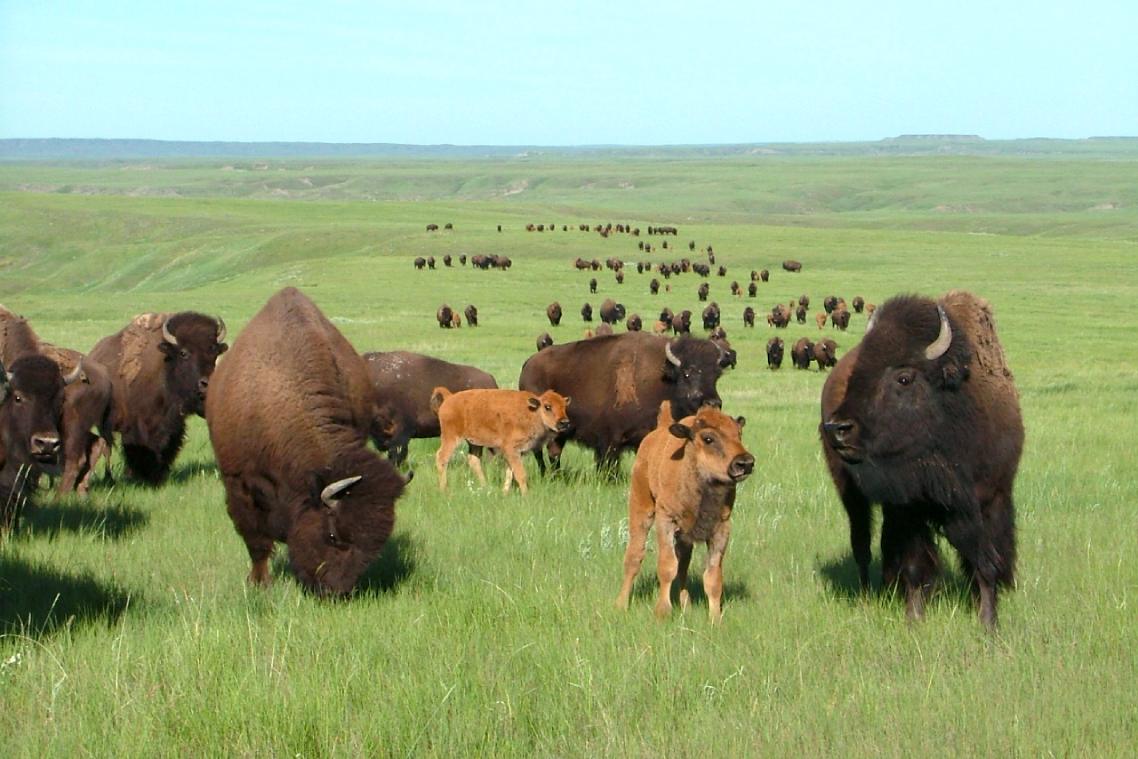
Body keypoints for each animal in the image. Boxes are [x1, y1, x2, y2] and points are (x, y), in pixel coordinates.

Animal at [89, 311, 225, 484]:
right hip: (104, 425)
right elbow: (138, 448)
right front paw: (142, 477)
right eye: (183, 353)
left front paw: (159, 476)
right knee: (107, 448)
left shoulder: (173, 425)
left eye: (214, 351)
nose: (206, 383)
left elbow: (167, 448)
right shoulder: (137, 425)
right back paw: (110, 478)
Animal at [205, 287, 409, 596]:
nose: (335, 592)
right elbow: (256, 539)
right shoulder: (238, 483)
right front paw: (260, 582)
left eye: (375, 545)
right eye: (334, 535)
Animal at [614, 402, 755, 623]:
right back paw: (620, 604)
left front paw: (715, 618)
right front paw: (662, 612)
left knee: (683, 565)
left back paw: (686, 606)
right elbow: (667, 566)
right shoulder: (666, 521)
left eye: (738, 434)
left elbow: (712, 577)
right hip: (641, 506)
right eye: (708, 438)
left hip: (684, 537)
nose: (745, 463)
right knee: (635, 555)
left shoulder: (721, 529)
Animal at [819, 291, 1024, 628]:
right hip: (850, 493)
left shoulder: (991, 499)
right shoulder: (911, 508)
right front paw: (914, 620)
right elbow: (916, 564)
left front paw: (987, 621)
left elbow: (987, 561)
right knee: (862, 543)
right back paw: (866, 596)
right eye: (860, 370)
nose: (838, 429)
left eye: (904, 378)